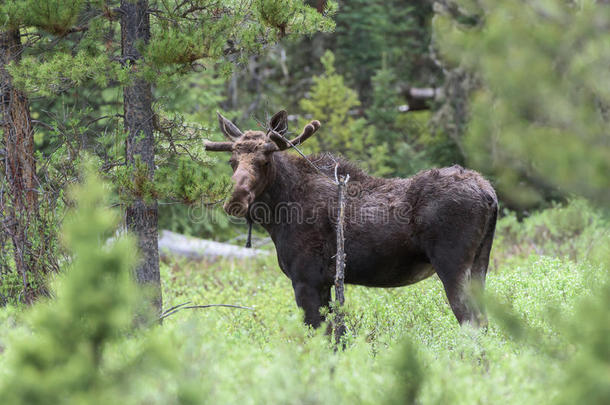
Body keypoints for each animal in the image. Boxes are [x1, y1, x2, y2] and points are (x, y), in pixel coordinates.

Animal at [204, 110, 494, 328]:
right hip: (480, 264)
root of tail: (489, 193)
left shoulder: (306, 279)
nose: (236, 199)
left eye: (265, 161)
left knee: (472, 323)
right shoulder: (326, 282)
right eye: (232, 161)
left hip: (452, 265)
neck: (278, 215)